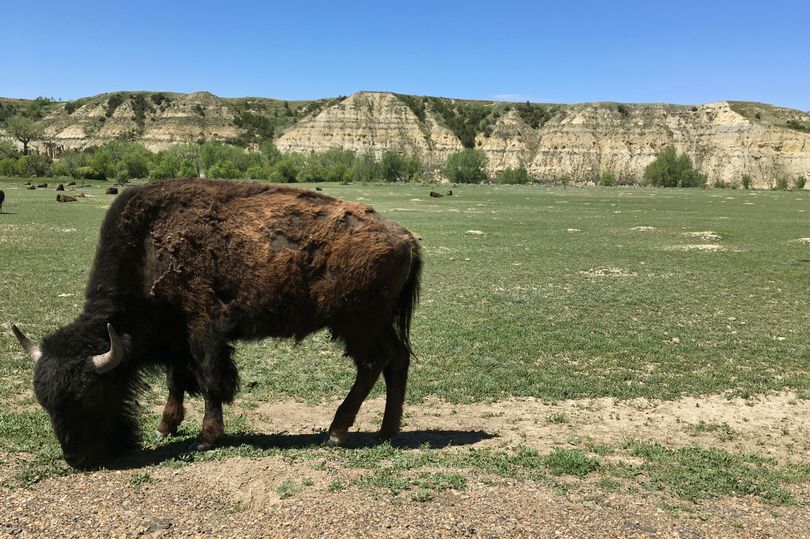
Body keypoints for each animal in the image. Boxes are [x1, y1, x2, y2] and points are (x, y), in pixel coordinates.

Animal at [13, 179, 422, 469]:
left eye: (92, 395)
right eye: (45, 403)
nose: (77, 459)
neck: (146, 251)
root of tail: (406, 237)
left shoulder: (204, 329)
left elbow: (209, 380)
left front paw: (206, 438)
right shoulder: (176, 337)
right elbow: (177, 380)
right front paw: (165, 426)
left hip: (356, 324)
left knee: (373, 365)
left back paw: (337, 432)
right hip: (375, 323)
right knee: (396, 361)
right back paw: (386, 432)